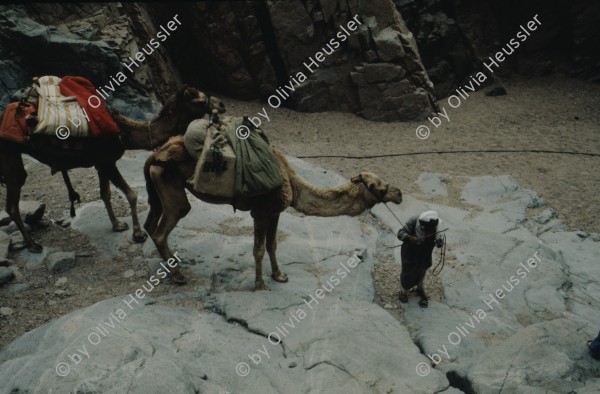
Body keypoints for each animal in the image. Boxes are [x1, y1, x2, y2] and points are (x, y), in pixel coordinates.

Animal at [0, 86, 225, 252]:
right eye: (201, 100)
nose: (222, 104)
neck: (124, 132)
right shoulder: (108, 161)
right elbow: (132, 194)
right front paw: (138, 234)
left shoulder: (101, 163)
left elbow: (105, 194)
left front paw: (117, 225)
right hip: (10, 151)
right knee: (13, 200)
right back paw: (32, 244)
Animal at [142, 130, 400, 290]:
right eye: (379, 187)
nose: (399, 194)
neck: (293, 183)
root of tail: (155, 154)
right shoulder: (261, 211)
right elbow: (258, 249)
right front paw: (259, 285)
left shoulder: (275, 211)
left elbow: (272, 245)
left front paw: (279, 276)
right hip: (171, 186)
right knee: (164, 227)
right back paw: (178, 275)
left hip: (157, 188)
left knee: (150, 224)